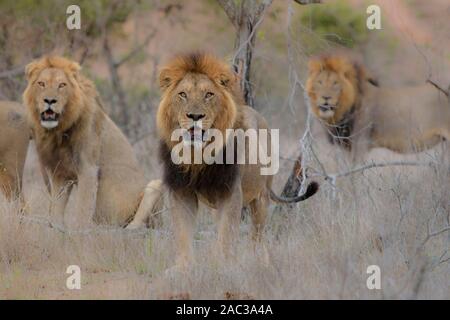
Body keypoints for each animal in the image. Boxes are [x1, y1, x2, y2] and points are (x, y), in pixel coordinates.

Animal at [22, 56, 147, 226]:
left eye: (62, 85)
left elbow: (82, 212)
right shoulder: (60, 174)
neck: (59, 131)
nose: (49, 100)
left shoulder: (88, 170)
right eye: (41, 84)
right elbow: (56, 210)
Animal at [135, 53, 318, 270]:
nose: (195, 116)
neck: (197, 156)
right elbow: (183, 232)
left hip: (261, 197)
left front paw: (223, 267)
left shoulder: (230, 192)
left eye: (208, 94)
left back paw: (260, 262)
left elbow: (227, 234)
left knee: (257, 237)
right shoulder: (181, 191)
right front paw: (183, 268)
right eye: (182, 94)